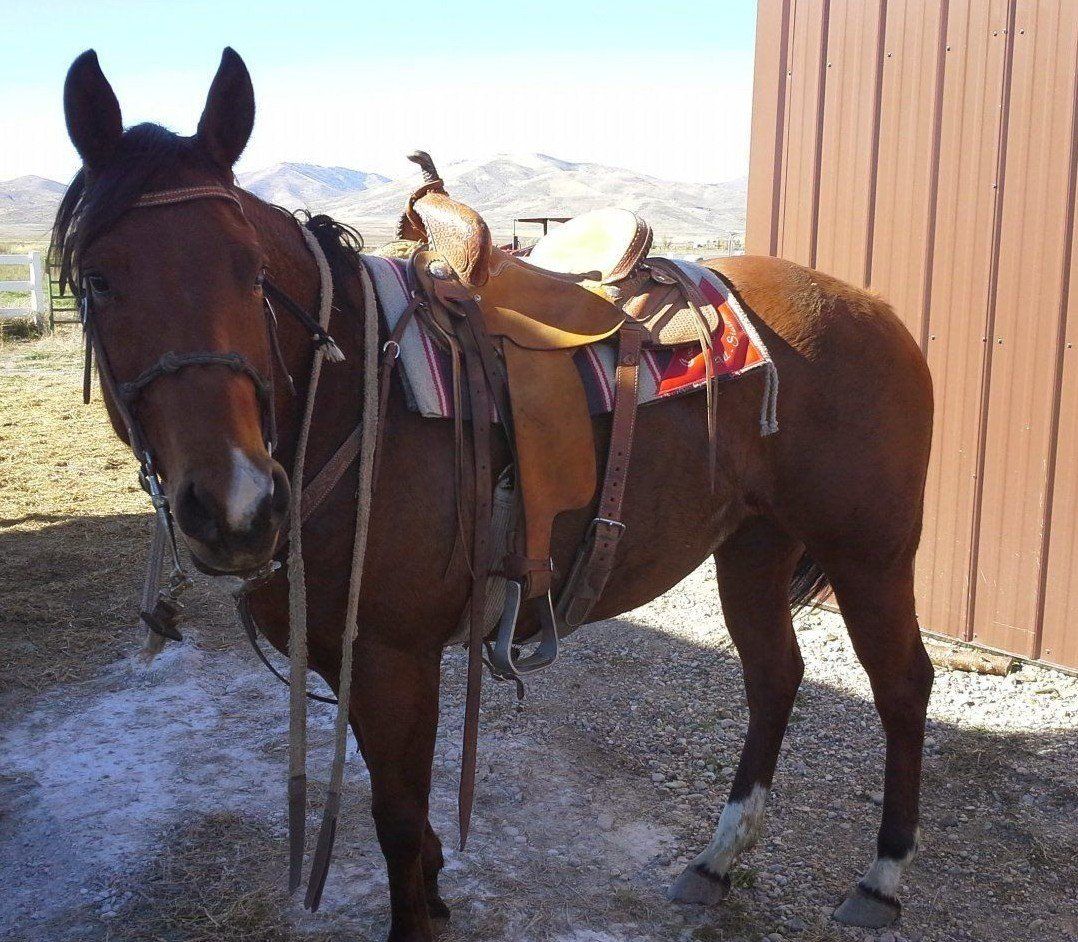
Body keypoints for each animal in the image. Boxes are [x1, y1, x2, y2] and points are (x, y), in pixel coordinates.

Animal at [54, 47, 935, 942]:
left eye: (253, 275)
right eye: (98, 280)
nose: (234, 507)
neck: (358, 397)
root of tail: (877, 307)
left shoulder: (395, 657)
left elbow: (396, 816)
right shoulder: (343, 653)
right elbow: (403, 815)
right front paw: (437, 882)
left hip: (871, 552)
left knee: (902, 684)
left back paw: (883, 878)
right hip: (754, 544)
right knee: (773, 675)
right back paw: (717, 861)